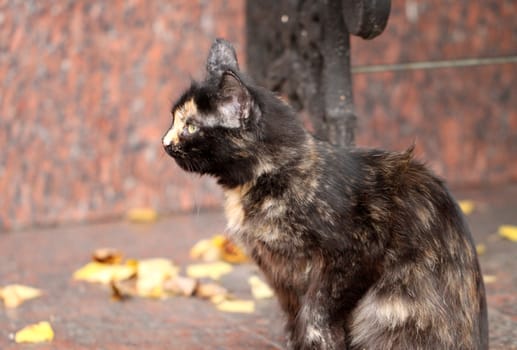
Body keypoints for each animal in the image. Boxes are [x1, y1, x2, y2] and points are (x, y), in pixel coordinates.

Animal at [162, 39, 488, 348]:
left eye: (190, 126)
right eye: (174, 119)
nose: (164, 142)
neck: (273, 176)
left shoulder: (355, 251)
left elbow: (317, 310)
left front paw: (320, 338)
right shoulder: (280, 274)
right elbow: (294, 316)